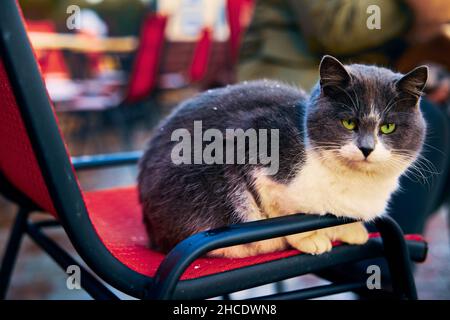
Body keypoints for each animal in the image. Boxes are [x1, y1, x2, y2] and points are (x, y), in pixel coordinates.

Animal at [139, 55, 428, 258]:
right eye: (348, 123)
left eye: (387, 127)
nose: (366, 148)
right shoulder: (253, 146)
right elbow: (282, 209)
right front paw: (310, 239)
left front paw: (350, 230)